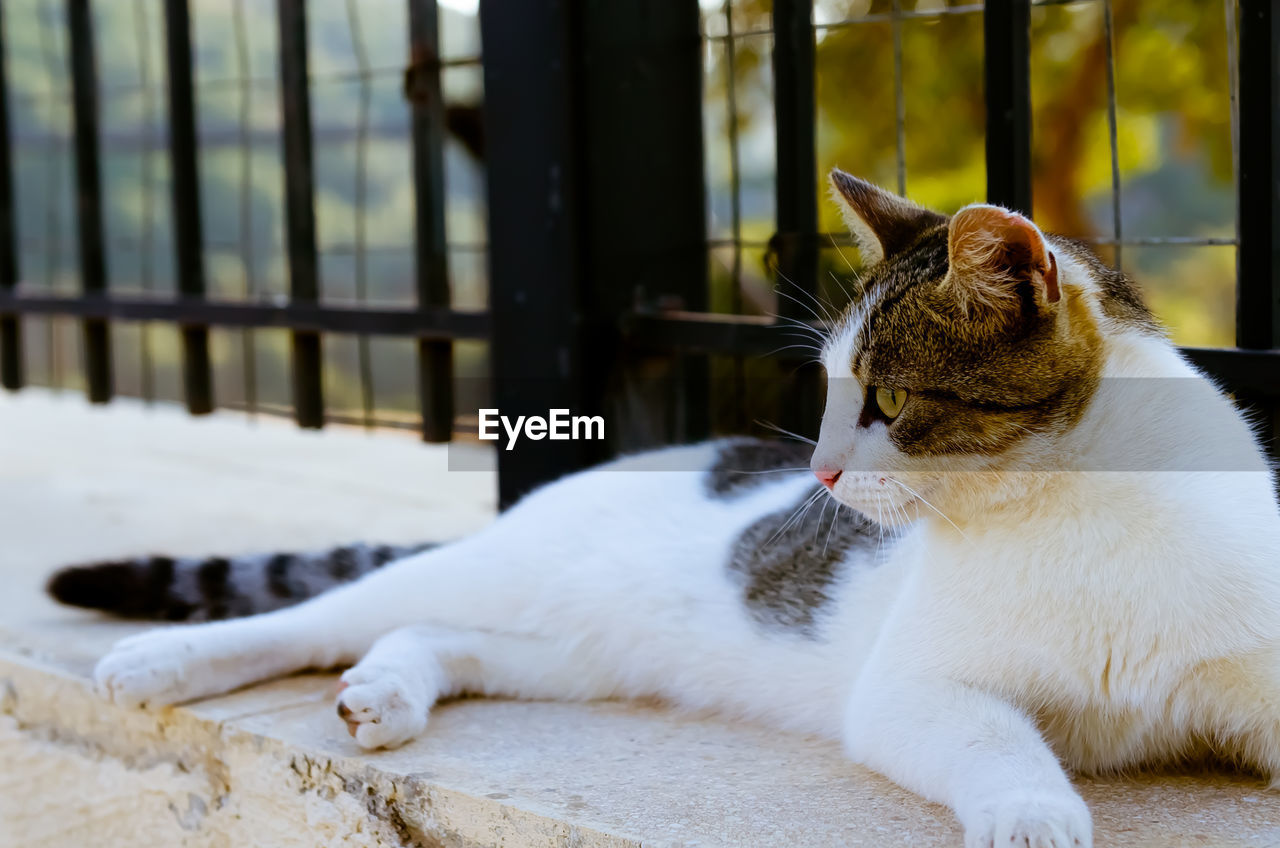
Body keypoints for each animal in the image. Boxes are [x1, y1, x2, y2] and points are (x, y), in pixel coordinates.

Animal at [47, 172, 1280, 848]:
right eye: (828, 393)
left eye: (882, 402)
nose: (819, 473)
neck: (1075, 508)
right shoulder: (914, 690)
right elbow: (998, 741)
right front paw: (1034, 811)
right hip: (495, 574)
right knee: (328, 611)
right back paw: (165, 662)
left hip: (576, 651)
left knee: (432, 633)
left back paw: (385, 693)